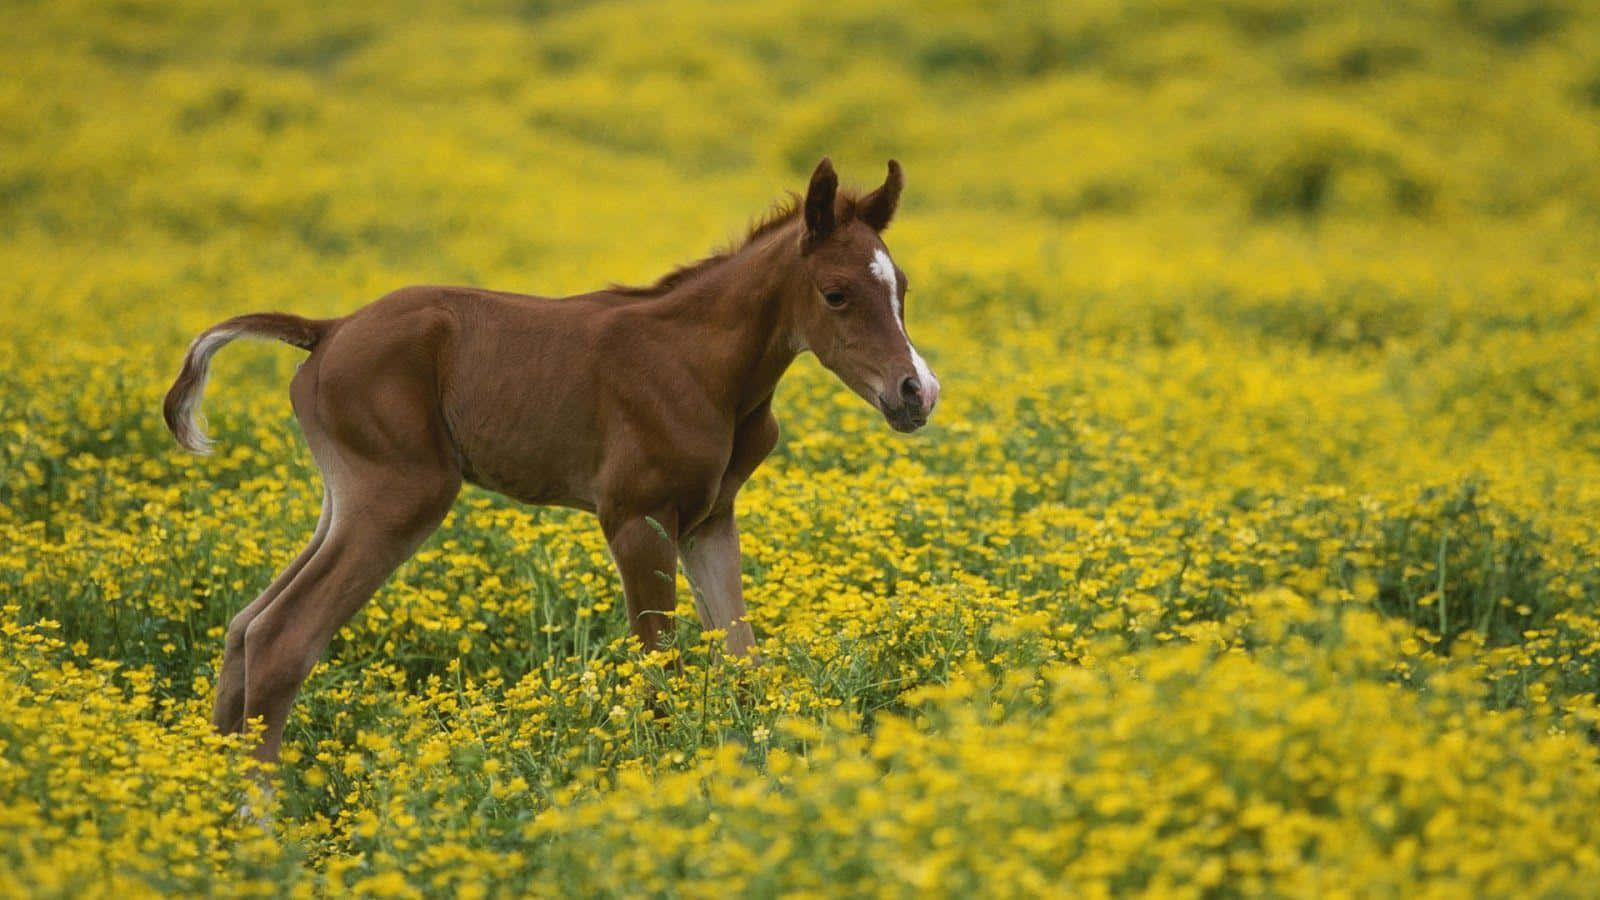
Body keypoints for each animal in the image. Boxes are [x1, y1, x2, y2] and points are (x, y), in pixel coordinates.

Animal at [165, 157, 934, 759]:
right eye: (836, 294)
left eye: (901, 287)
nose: (916, 392)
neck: (701, 364)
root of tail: (327, 331)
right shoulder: (635, 519)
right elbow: (658, 666)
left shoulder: (710, 521)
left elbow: (743, 657)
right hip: (401, 496)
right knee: (282, 635)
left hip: (344, 501)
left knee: (244, 626)